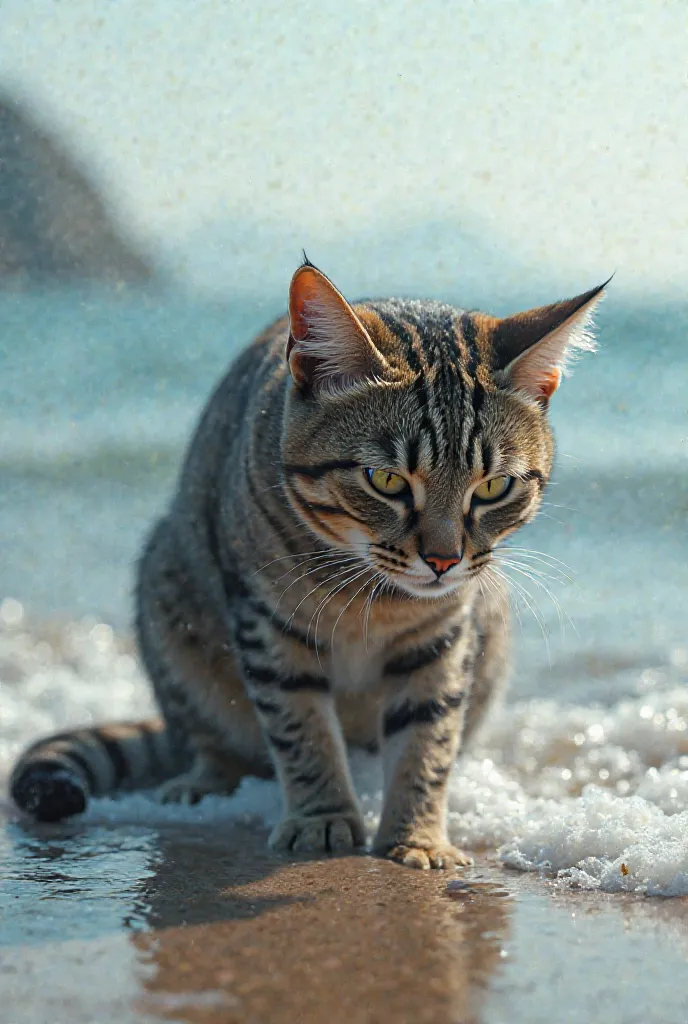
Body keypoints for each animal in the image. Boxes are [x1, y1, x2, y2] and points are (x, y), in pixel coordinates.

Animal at [8, 260, 606, 868]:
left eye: (491, 487)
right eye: (387, 480)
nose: (443, 559)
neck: (374, 597)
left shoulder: (440, 635)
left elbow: (428, 737)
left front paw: (417, 834)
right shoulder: (269, 624)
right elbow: (302, 726)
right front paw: (323, 817)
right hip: (167, 596)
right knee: (207, 738)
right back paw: (203, 783)